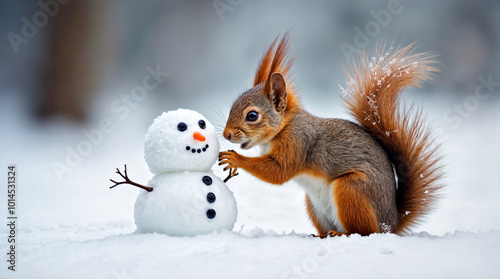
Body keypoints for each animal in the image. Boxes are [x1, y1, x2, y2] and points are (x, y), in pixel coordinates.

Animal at [217, 33, 444, 238]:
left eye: (252, 115)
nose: (226, 134)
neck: (285, 126)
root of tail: (390, 224)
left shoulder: (298, 142)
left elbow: (279, 171)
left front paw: (235, 159)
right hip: (314, 204)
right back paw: (321, 235)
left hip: (351, 189)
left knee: (365, 231)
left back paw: (342, 234)